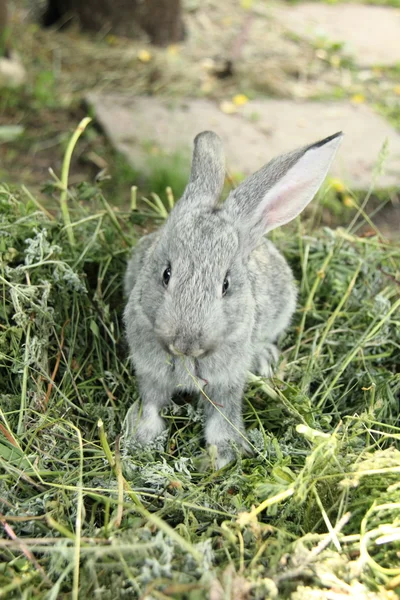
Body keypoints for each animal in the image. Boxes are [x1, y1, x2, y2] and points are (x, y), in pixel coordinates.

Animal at [123, 131, 342, 468]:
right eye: (166, 274)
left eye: (226, 285)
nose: (186, 343)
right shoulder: (150, 373)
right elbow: (151, 404)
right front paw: (140, 440)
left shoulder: (227, 382)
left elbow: (222, 417)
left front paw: (223, 455)